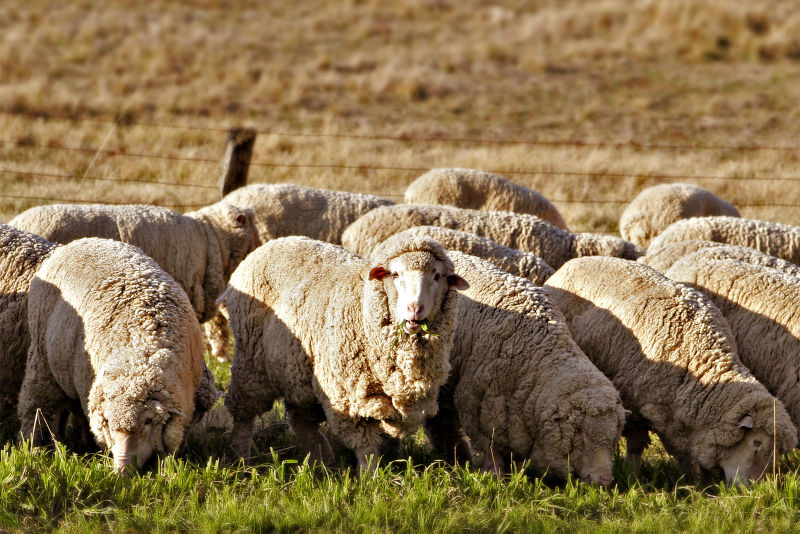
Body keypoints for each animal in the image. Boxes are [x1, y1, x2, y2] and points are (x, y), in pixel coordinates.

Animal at [18, 238, 207, 473]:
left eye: (148, 421)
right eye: (108, 422)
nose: (121, 471)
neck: (143, 348)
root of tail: (80, 241)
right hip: (41, 357)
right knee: (35, 405)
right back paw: (32, 446)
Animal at [222, 235, 469, 469]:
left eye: (437, 276)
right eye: (396, 274)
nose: (415, 309)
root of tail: (270, 244)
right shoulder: (348, 398)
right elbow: (366, 447)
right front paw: (370, 477)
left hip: (297, 372)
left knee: (300, 417)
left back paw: (321, 459)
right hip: (250, 361)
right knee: (244, 414)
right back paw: (241, 457)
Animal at [415, 249, 626, 485]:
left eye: (614, 437)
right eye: (582, 435)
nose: (605, 479)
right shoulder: (478, 408)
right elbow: (491, 449)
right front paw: (495, 476)